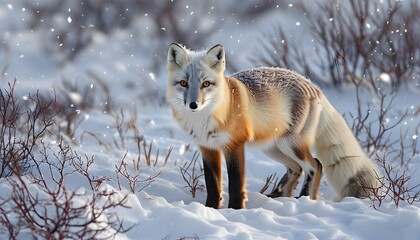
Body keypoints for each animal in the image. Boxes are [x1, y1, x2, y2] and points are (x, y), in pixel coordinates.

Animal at [167, 42, 380, 208]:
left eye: (206, 84)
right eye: (184, 83)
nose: (193, 105)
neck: (206, 119)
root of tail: (314, 86)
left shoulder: (234, 145)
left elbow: (236, 183)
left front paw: (235, 210)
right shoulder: (208, 148)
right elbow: (213, 185)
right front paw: (211, 208)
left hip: (290, 144)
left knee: (315, 165)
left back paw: (305, 199)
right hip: (272, 148)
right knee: (297, 168)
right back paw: (279, 196)